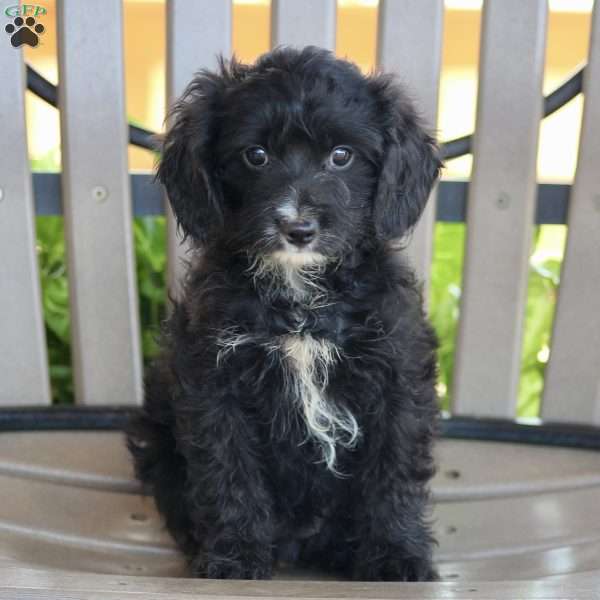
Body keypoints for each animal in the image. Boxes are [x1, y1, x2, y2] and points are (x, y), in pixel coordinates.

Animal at [129, 45, 440, 580]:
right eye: (256, 156)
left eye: (342, 156)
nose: (298, 228)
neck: (299, 299)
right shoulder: (214, 383)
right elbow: (228, 472)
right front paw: (235, 556)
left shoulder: (398, 377)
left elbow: (393, 473)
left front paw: (396, 555)